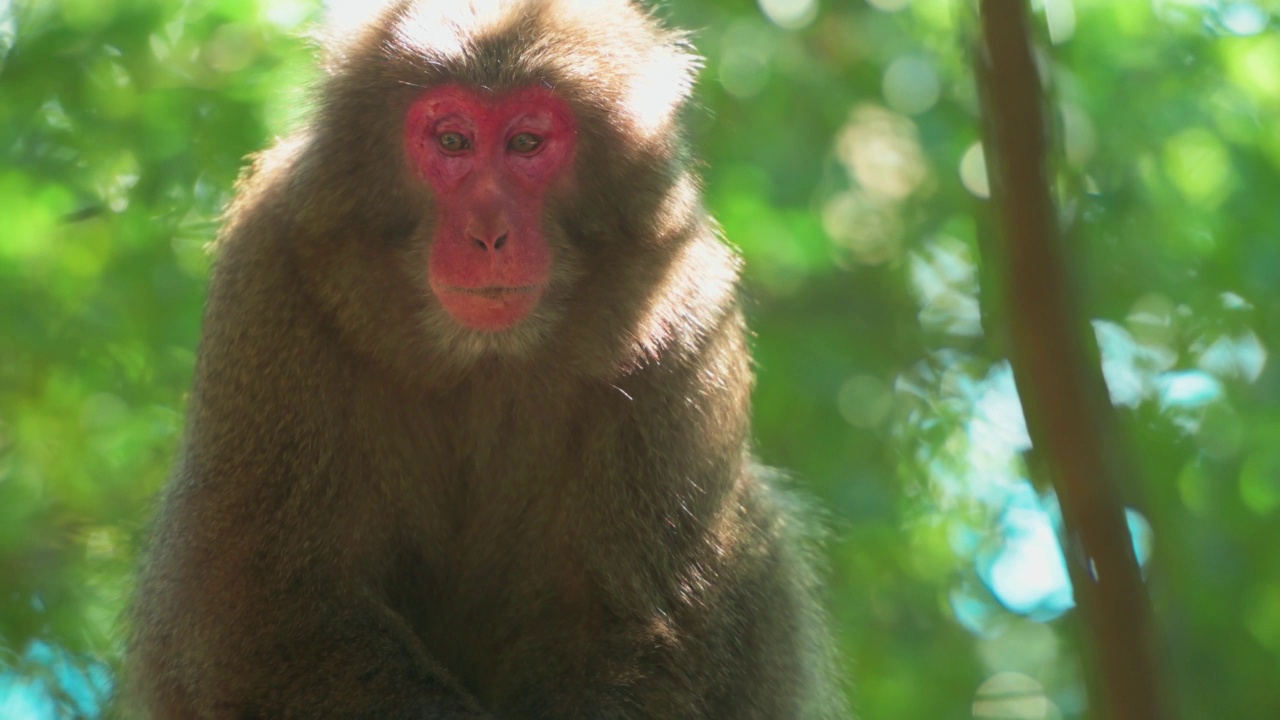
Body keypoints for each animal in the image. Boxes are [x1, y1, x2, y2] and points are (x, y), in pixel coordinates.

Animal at [127, 2, 849, 712]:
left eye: (526, 144)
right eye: (453, 142)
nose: (488, 233)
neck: (480, 357)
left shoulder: (683, 309)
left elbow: (637, 634)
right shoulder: (272, 271)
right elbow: (273, 621)